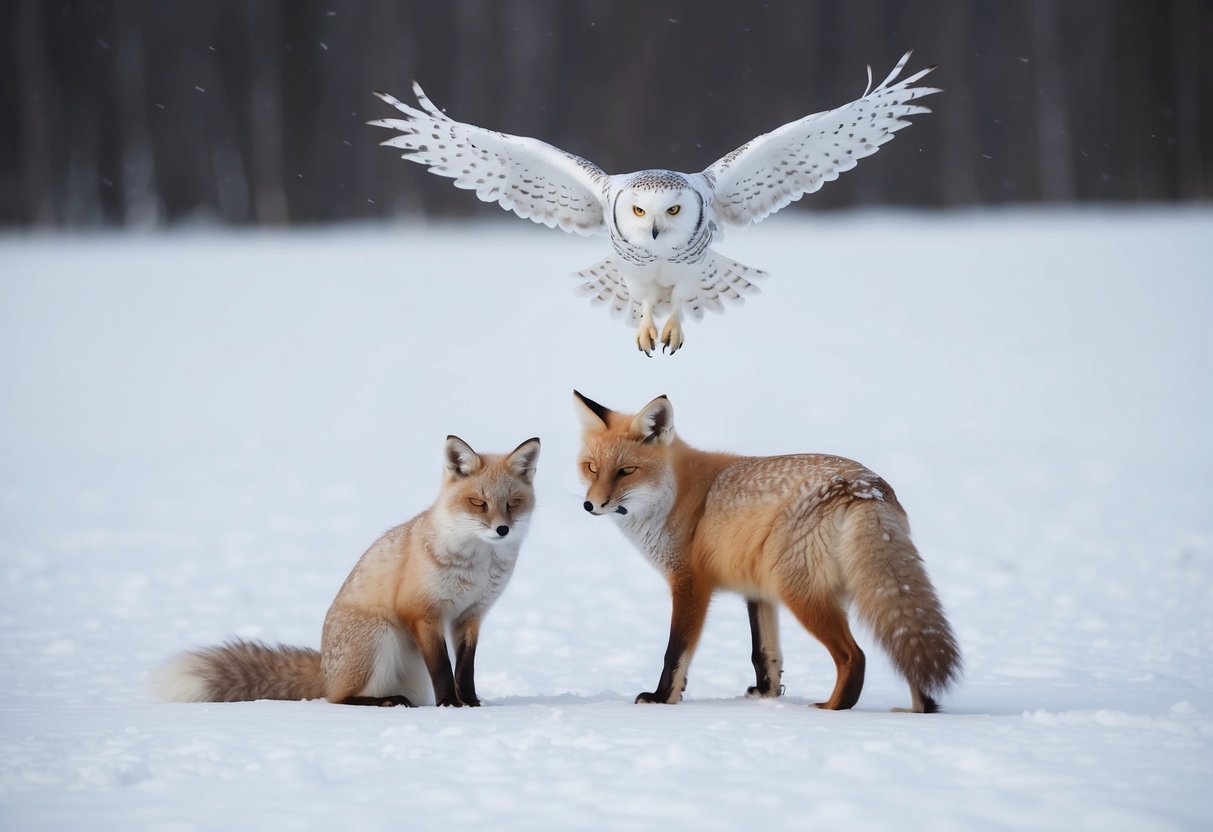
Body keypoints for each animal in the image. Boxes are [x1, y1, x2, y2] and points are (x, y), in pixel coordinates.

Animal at [153, 435, 540, 707]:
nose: (501, 530)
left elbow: (465, 669)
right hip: (381, 638)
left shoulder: (471, 615)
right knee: (338, 699)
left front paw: (471, 703)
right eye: (478, 502)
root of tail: (326, 671)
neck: (479, 565)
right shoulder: (421, 612)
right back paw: (385, 701)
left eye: (512, 503)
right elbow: (444, 670)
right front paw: (449, 705)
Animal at [574, 391, 961, 713]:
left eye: (626, 471)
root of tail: (865, 486)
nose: (590, 505)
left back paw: (833, 709)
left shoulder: (690, 584)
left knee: (855, 657)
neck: (676, 497)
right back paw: (919, 711)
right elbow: (763, 653)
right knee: (910, 652)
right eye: (591, 467)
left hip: (801, 592)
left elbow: (675, 652)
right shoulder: (757, 589)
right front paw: (766, 696)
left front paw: (660, 698)